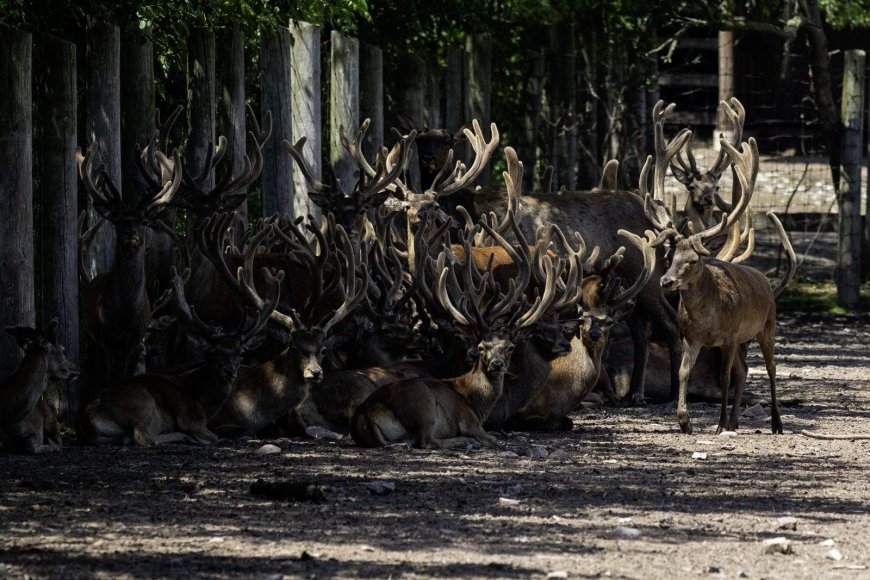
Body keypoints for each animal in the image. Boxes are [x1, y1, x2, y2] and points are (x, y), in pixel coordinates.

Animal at [0, 320, 79, 454]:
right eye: (63, 349)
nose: (77, 369)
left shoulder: (36, 431)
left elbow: (31, 444)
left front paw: (47, 445)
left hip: (51, 420)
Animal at [78, 225, 286, 446]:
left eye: (241, 353)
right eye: (212, 353)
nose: (229, 371)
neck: (204, 402)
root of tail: (88, 419)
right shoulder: (191, 417)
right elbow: (213, 435)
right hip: (142, 403)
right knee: (143, 436)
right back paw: (183, 436)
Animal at [648, 135, 796, 435]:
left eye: (694, 259)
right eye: (669, 257)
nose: (666, 280)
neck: (708, 322)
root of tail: (764, 279)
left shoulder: (728, 337)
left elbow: (726, 377)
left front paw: (719, 424)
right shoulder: (692, 338)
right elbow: (683, 372)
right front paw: (685, 421)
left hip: (766, 326)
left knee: (771, 368)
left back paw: (776, 423)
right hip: (742, 339)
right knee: (744, 369)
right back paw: (737, 421)